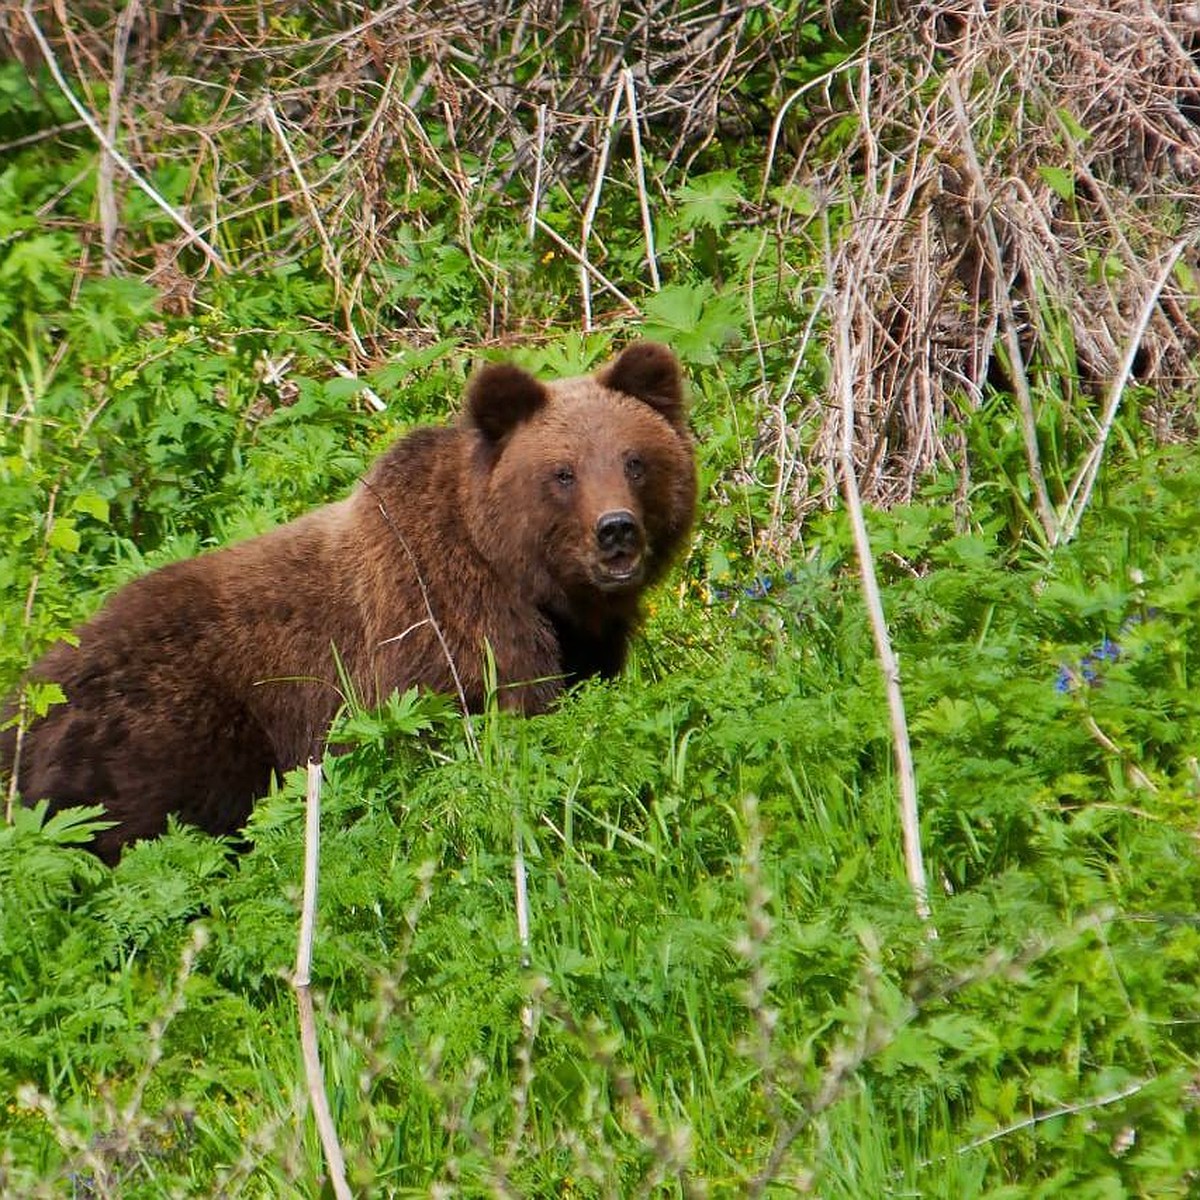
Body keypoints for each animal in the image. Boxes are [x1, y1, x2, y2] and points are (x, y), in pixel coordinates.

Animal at [0, 343, 700, 859]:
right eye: (563, 473)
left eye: (635, 460)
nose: (616, 530)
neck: (527, 581)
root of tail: (27, 694)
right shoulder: (437, 625)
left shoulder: (585, 642)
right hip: (157, 730)